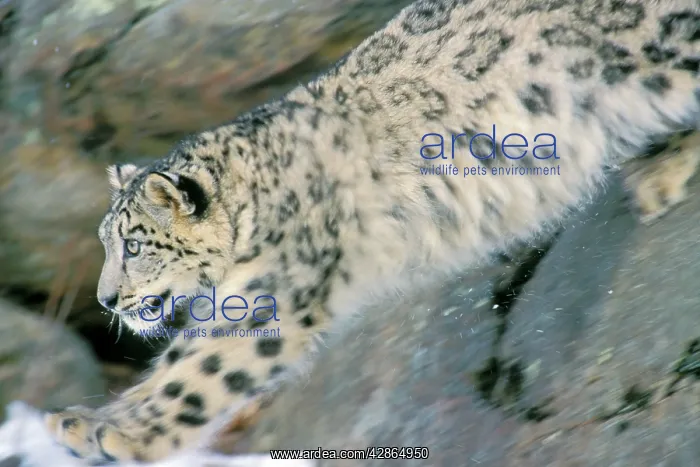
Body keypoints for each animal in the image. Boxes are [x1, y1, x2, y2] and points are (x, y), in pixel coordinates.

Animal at [44, 0, 700, 462]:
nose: (107, 299)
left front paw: (109, 433)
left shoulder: (271, 291)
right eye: (107, 244)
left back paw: (661, 171)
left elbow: (197, 373)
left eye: (133, 245)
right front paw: (86, 420)